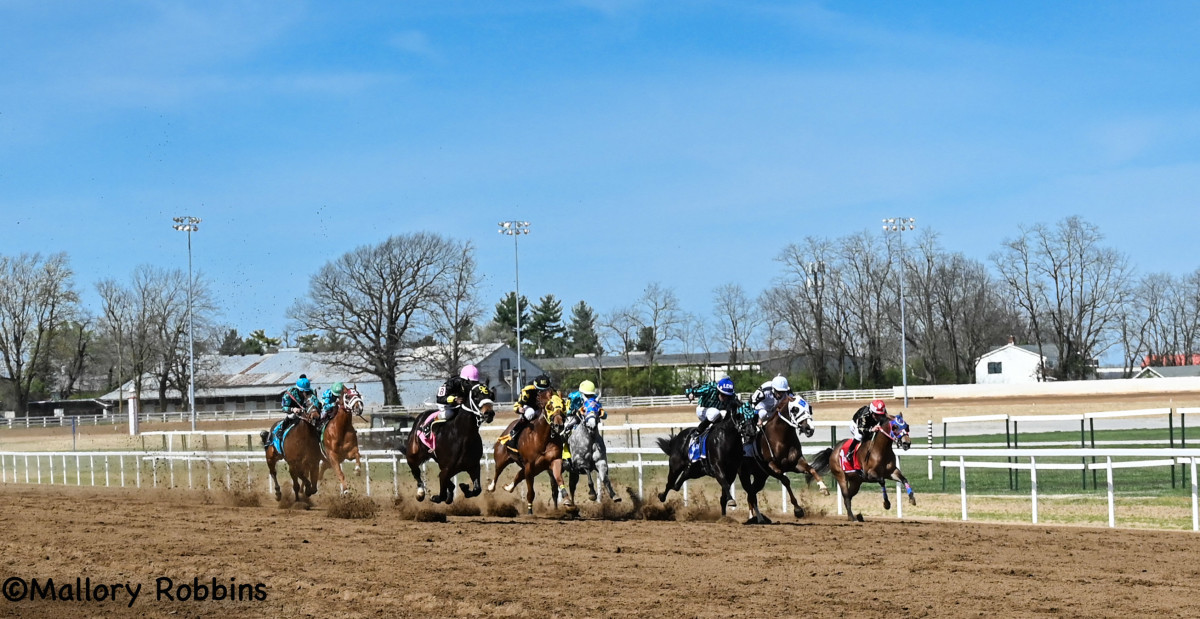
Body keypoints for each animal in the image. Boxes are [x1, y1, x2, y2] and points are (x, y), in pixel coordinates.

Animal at [734, 395, 830, 523]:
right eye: (795, 409)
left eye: (809, 408)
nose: (809, 428)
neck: (781, 438)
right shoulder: (771, 467)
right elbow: (785, 480)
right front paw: (798, 510)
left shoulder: (795, 463)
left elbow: (811, 469)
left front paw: (823, 487)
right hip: (744, 474)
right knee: (750, 493)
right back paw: (755, 518)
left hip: (760, 477)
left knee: (752, 493)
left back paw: (757, 518)